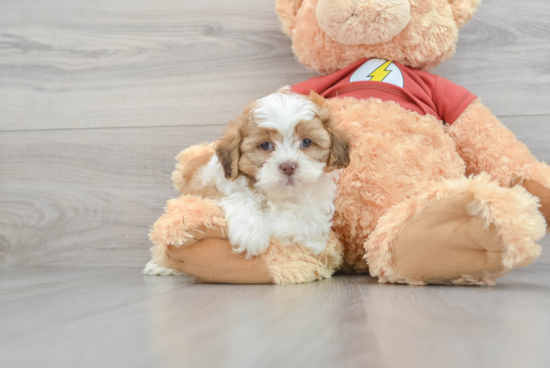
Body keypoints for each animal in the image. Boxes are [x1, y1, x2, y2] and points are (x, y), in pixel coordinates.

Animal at [201, 89, 352, 256]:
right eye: (265, 145)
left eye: (306, 142)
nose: (288, 166)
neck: (280, 195)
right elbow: (241, 196)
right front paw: (251, 233)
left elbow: (302, 224)